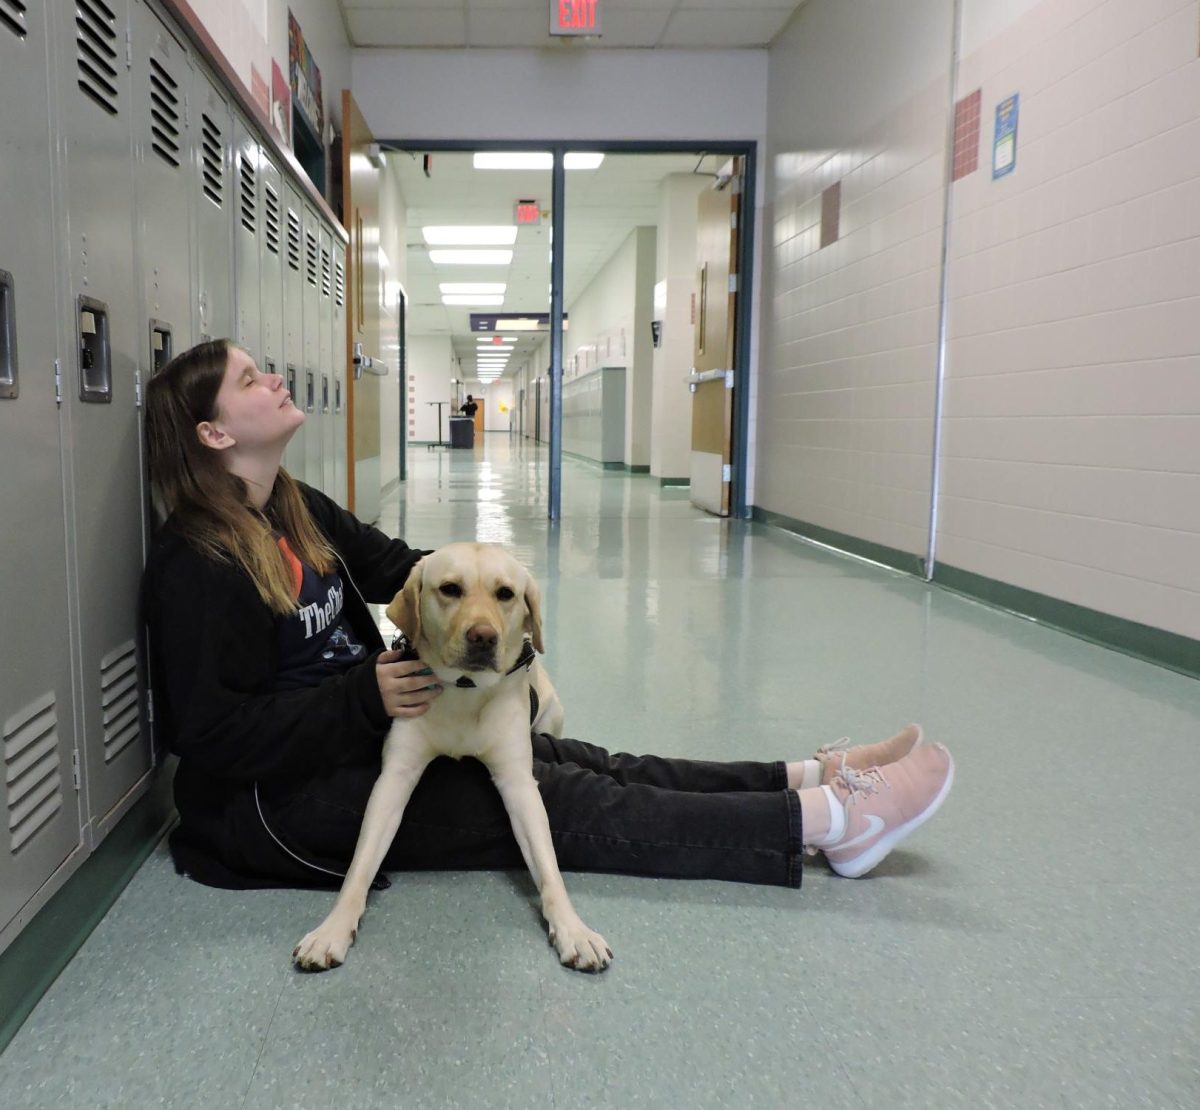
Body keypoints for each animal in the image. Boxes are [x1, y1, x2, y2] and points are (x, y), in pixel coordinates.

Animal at [288, 542, 609, 969]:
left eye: (505, 593)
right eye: (450, 589)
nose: (483, 636)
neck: (464, 690)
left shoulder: (518, 782)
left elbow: (548, 866)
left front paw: (573, 929)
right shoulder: (395, 776)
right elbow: (360, 864)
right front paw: (333, 928)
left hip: (550, 716)